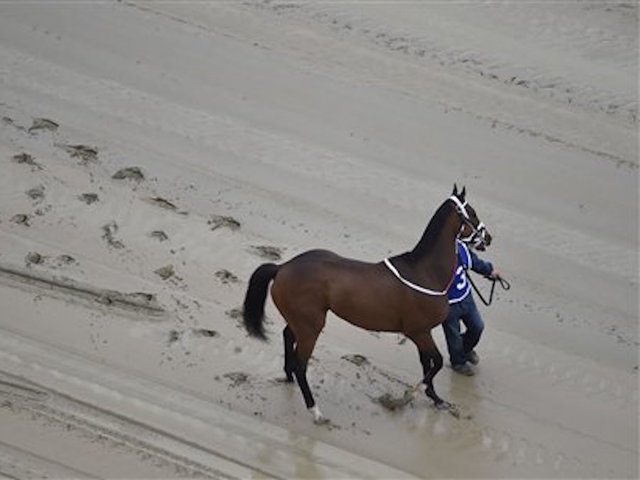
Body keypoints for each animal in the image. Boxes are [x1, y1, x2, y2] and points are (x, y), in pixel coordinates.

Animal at [242, 185, 491, 424]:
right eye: (472, 213)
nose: (488, 238)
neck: (425, 271)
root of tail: (282, 268)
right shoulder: (418, 332)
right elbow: (436, 362)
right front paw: (405, 397)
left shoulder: (423, 333)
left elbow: (427, 364)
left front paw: (437, 399)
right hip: (310, 328)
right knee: (300, 364)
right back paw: (315, 411)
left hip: (301, 322)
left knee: (287, 337)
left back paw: (288, 378)